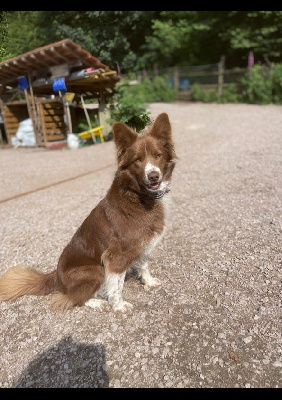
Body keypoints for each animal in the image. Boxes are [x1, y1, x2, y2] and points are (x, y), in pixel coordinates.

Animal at [0, 112, 176, 312]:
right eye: (138, 160)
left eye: (158, 155)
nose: (153, 176)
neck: (138, 196)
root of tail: (56, 277)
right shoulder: (115, 256)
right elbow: (116, 285)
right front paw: (118, 306)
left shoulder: (144, 244)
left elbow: (144, 264)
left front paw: (148, 282)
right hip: (94, 270)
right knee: (71, 298)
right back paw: (97, 302)